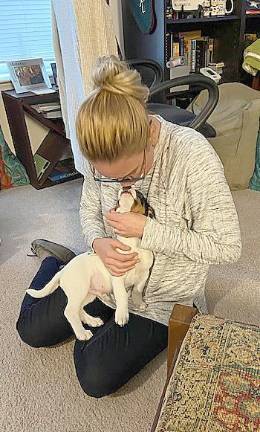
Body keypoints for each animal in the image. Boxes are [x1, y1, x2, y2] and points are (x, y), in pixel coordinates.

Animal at [25, 187, 154, 342]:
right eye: (117, 202)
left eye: (140, 195)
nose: (126, 187)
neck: (132, 244)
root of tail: (62, 271)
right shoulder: (118, 276)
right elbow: (122, 295)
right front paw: (122, 315)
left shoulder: (144, 275)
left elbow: (137, 291)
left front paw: (139, 303)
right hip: (80, 288)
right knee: (69, 311)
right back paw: (82, 333)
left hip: (89, 293)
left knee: (78, 309)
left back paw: (92, 321)